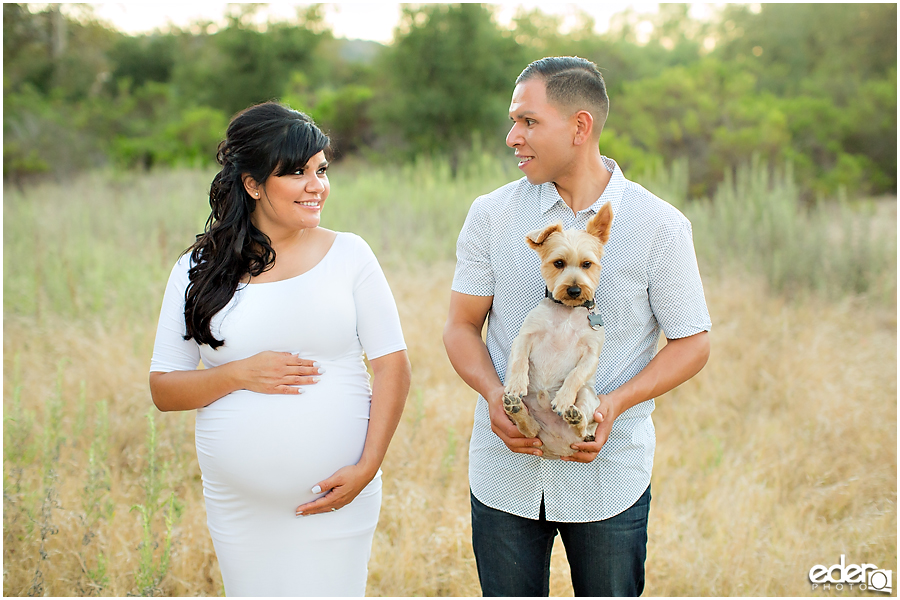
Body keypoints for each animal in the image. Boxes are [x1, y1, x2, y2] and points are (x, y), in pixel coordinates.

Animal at [502, 203, 616, 460]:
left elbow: (575, 375)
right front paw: (517, 384)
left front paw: (563, 399)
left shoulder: (591, 354)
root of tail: (555, 447)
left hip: (587, 396)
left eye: (587, 264)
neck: (567, 312)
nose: (574, 290)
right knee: (529, 429)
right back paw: (516, 407)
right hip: (530, 420)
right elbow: (519, 360)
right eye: (558, 263)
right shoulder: (525, 337)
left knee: (583, 428)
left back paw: (574, 417)